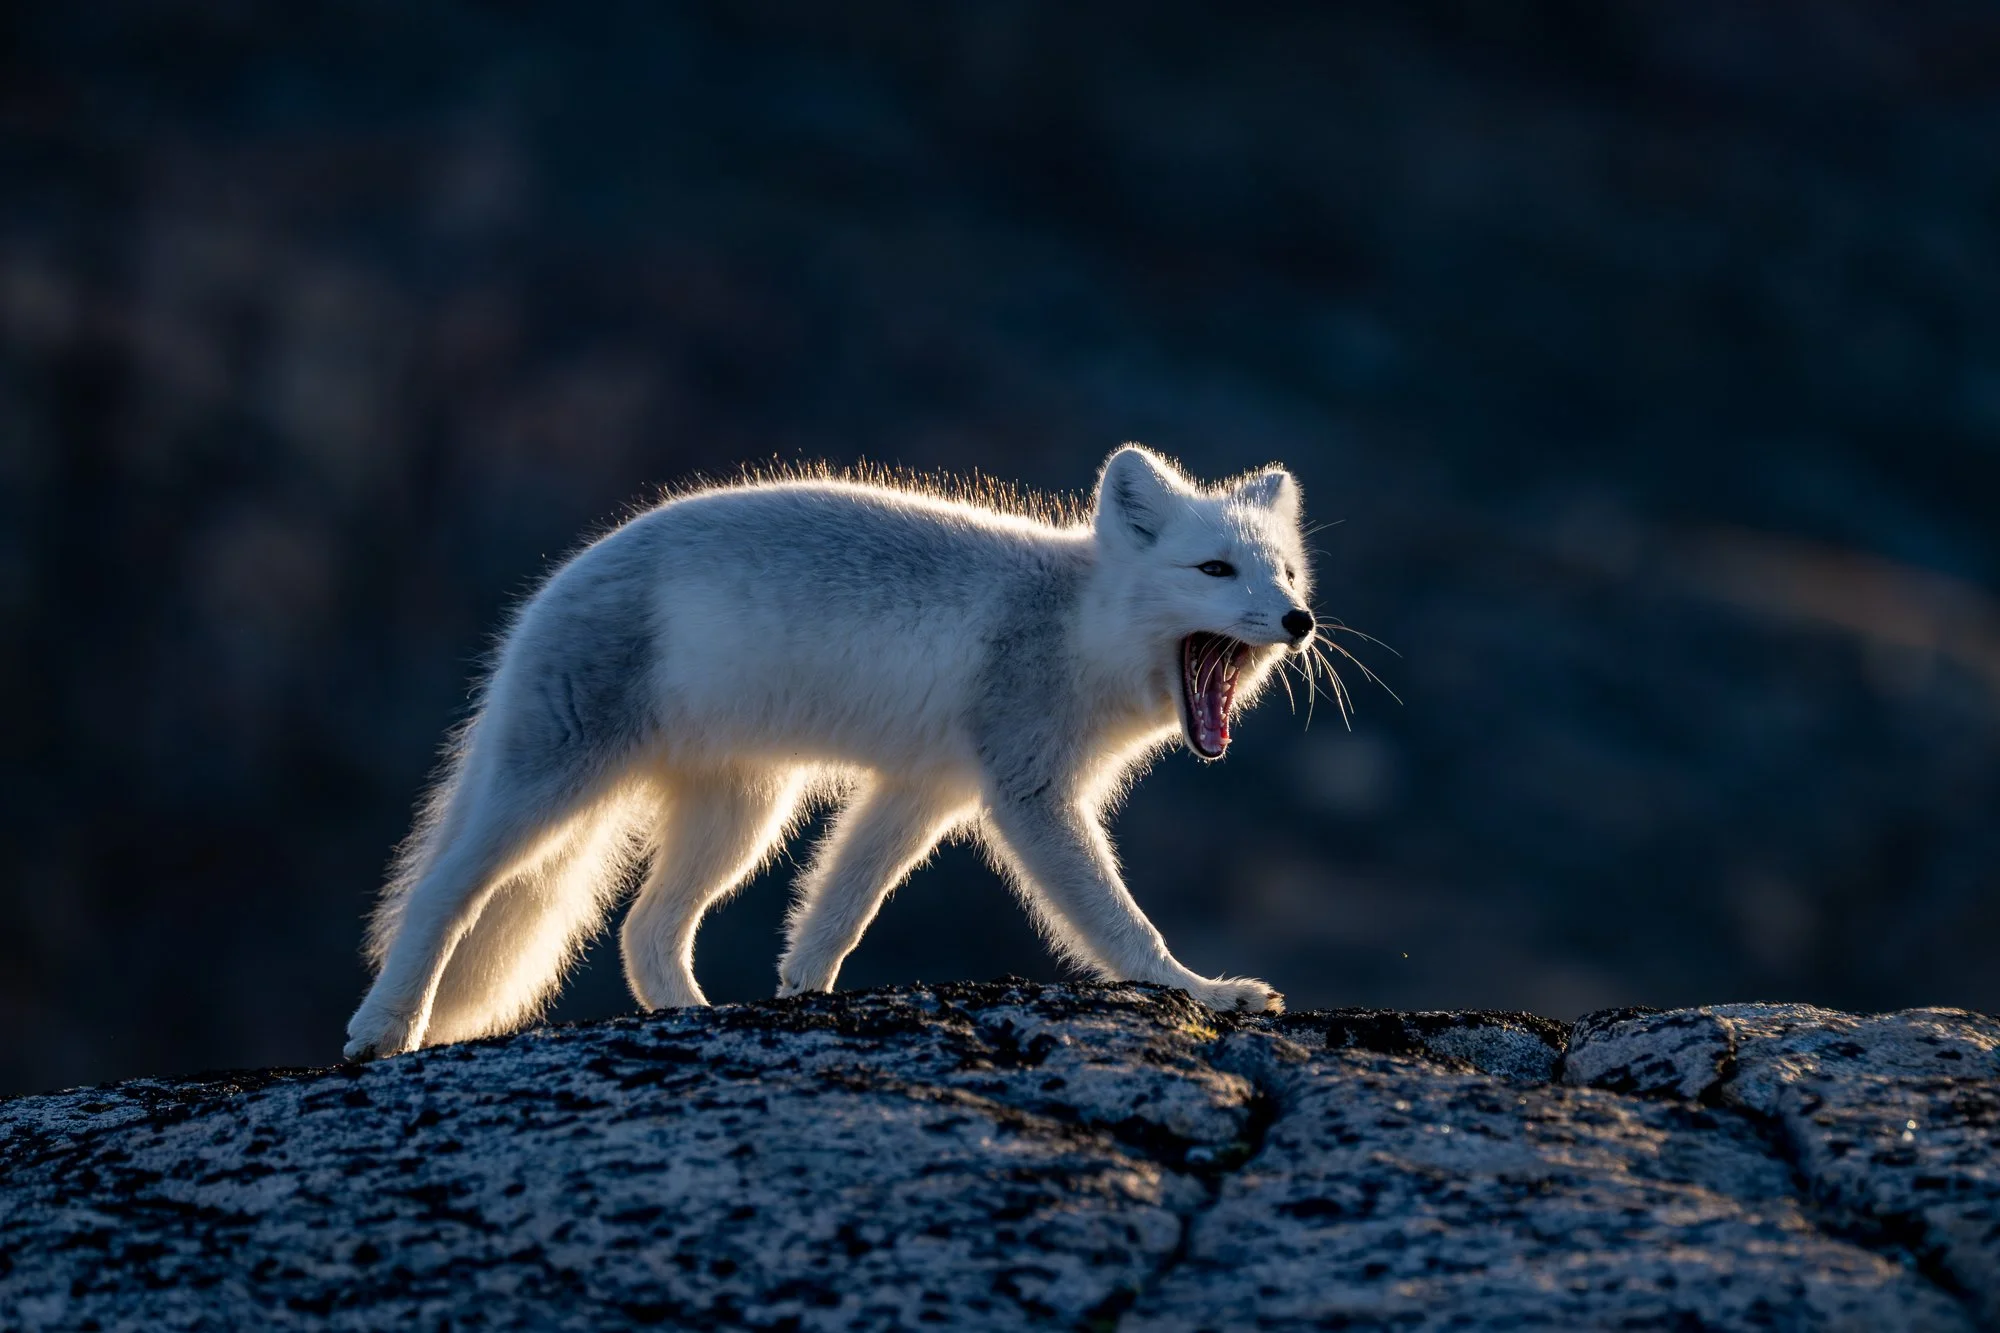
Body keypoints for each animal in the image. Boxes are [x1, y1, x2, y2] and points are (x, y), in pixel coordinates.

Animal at [344, 444, 1327, 1062]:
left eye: (1283, 570)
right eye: (1214, 570)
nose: (1300, 620)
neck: (1075, 623)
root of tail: (549, 591)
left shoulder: (924, 788)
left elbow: (840, 906)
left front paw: (803, 992)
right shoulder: (1028, 790)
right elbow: (1120, 921)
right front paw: (1199, 991)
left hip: (744, 815)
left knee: (645, 928)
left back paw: (696, 1017)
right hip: (556, 783)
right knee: (443, 892)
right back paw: (385, 1027)